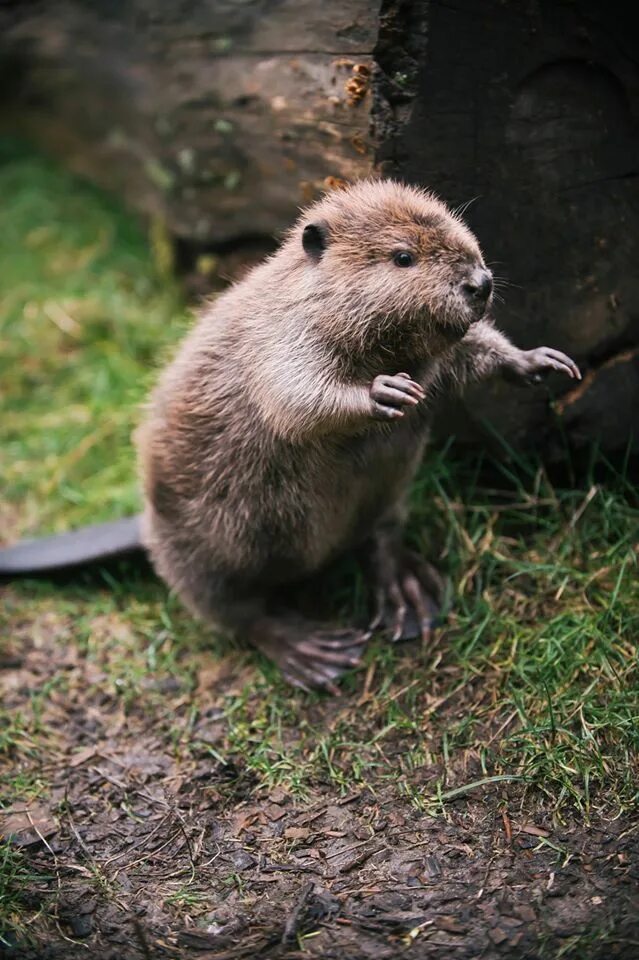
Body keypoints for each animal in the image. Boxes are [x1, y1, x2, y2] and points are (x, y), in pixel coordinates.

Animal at [129, 180, 580, 688]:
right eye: (403, 257)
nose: (479, 283)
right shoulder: (280, 333)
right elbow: (293, 392)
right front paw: (388, 391)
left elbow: (471, 345)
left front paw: (540, 361)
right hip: (197, 550)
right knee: (239, 611)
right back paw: (317, 652)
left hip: (386, 496)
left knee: (379, 536)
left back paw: (410, 598)